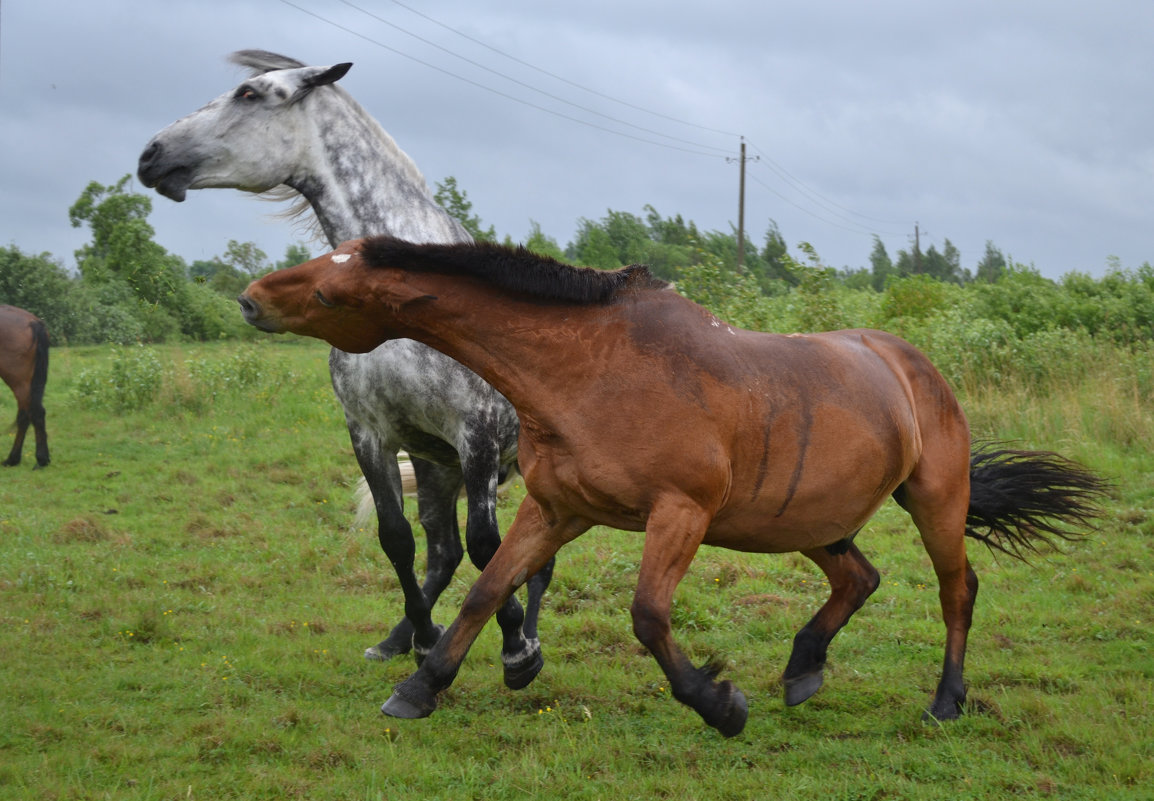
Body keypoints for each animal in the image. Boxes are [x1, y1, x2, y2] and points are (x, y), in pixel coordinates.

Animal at [236, 240, 1107, 738]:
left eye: (330, 290)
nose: (251, 298)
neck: (587, 369)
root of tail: (914, 363)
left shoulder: (678, 513)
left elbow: (649, 616)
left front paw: (720, 706)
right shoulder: (555, 509)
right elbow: (487, 589)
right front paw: (421, 686)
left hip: (934, 502)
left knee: (957, 590)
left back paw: (946, 702)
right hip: (809, 520)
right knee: (860, 577)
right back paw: (803, 668)